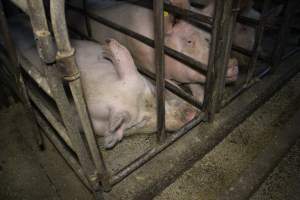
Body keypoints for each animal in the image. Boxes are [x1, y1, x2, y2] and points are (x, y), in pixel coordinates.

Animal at [65, 0, 239, 103]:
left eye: (209, 39)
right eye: (189, 41)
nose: (233, 62)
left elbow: (195, 85)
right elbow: (172, 87)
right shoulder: (148, 65)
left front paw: (200, 98)